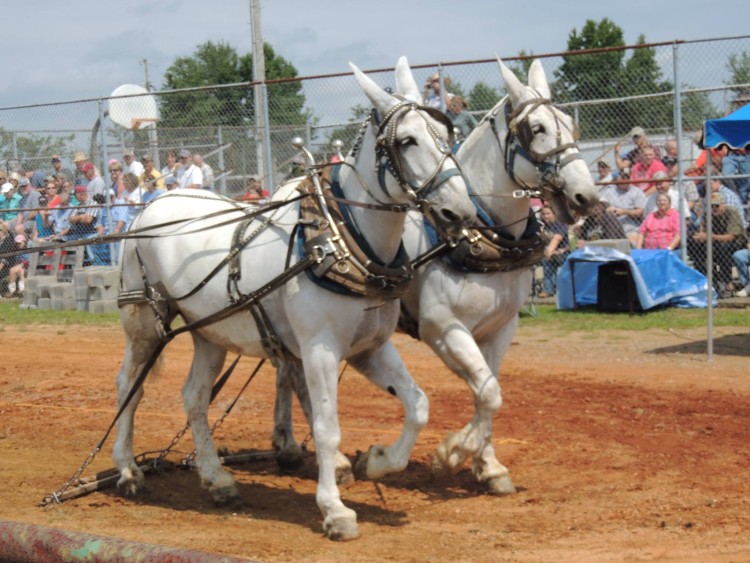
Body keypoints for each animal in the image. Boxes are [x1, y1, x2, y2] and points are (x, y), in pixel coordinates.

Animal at [111, 57, 476, 540]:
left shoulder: (370, 348)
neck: (341, 238)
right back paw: (128, 470)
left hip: (211, 333)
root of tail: (152, 204)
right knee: (129, 387)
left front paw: (378, 462)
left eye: (447, 136)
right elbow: (325, 427)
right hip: (144, 322)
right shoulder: (319, 349)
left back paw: (217, 479)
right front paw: (335, 510)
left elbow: (417, 405)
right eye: (407, 140)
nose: (462, 212)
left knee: (194, 397)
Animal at [274, 59, 604, 494]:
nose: (587, 197)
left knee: (285, 369)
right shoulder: (443, 327)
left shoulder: (500, 329)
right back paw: (328, 458)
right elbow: (489, 392)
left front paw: (488, 465)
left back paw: (285, 443)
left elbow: (488, 393)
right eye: (537, 129)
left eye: (568, 123)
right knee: (294, 376)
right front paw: (449, 454)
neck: (483, 229)